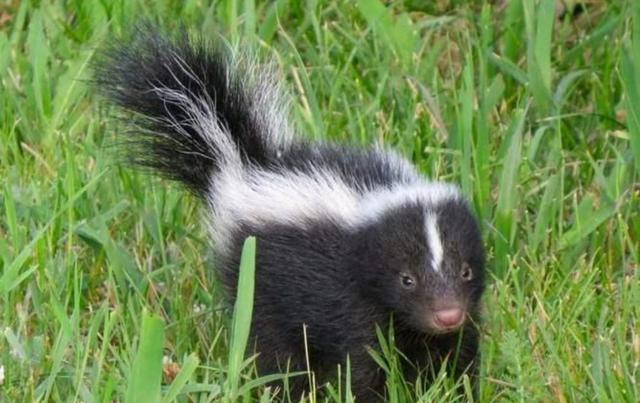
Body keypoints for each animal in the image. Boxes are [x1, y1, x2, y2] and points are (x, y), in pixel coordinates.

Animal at [94, 26, 484, 402]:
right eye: (407, 279)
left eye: (466, 271)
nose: (447, 315)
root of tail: (241, 164)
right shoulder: (350, 299)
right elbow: (364, 362)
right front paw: (371, 394)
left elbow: (457, 354)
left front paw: (457, 388)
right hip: (257, 281)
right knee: (273, 347)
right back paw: (283, 389)